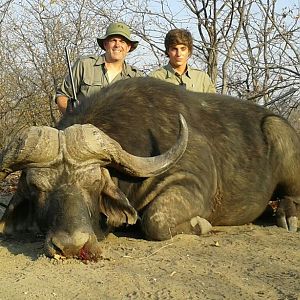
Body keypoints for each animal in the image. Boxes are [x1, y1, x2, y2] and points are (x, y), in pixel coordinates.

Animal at [0, 77, 298, 258]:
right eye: (37, 188)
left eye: (94, 183)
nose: (72, 246)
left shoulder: (188, 183)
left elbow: (156, 220)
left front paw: (201, 224)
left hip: (279, 134)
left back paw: (288, 217)